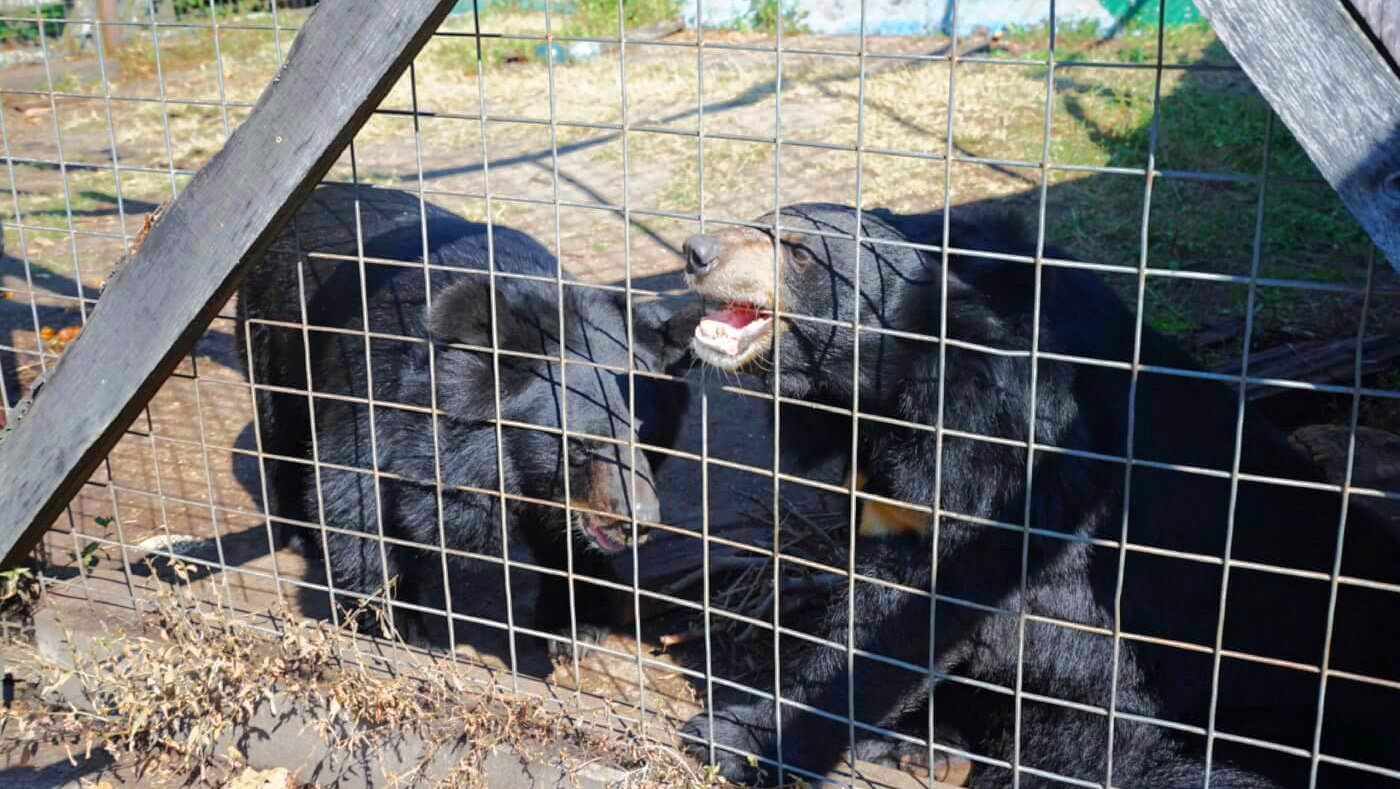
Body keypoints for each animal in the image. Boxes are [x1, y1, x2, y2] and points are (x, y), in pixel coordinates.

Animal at [672, 205, 1394, 789]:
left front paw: (733, 734)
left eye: (798, 251)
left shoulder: (999, 437)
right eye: (758, 221)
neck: (892, 382)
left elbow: (916, 592)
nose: (695, 251)